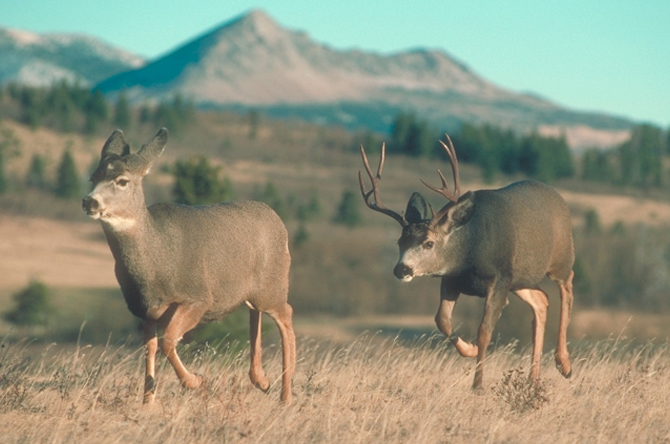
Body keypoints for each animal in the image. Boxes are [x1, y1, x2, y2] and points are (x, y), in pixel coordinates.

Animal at [82, 128, 296, 404]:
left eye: (122, 180)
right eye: (93, 177)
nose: (90, 202)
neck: (157, 261)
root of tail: (278, 221)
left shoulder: (198, 297)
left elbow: (169, 340)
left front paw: (194, 381)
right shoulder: (145, 310)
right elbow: (151, 347)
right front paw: (148, 402)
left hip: (273, 283)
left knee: (286, 317)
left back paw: (285, 395)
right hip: (251, 290)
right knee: (255, 314)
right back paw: (262, 379)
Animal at [358, 135, 575, 389]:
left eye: (429, 243)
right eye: (400, 242)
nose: (402, 269)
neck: (471, 250)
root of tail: (557, 196)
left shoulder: (499, 278)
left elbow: (485, 330)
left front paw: (478, 385)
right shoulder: (451, 279)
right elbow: (441, 319)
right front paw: (470, 350)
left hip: (561, 257)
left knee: (566, 286)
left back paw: (564, 364)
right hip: (521, 279)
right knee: (542, 300)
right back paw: (533, 379)